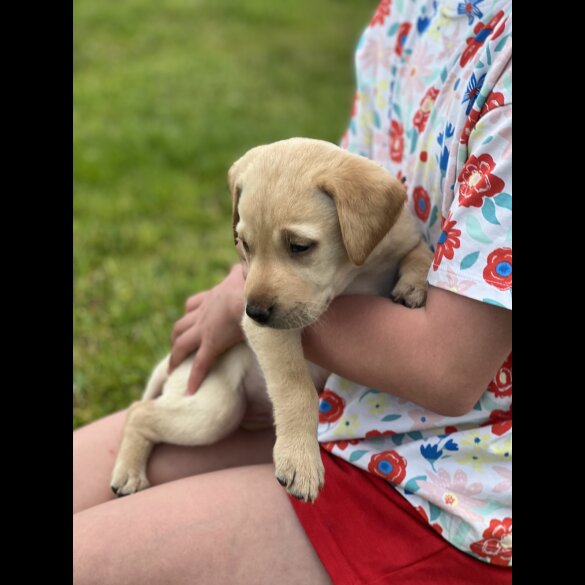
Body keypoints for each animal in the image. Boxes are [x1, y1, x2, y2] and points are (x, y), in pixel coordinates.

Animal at [110, 138, 428, 502]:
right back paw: (128, 473)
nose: (255, 312)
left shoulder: (403, 238)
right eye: (244, 245)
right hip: (214, 409)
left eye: (299, 246)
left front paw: (414, 284)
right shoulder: (269, 333)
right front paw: (300, 461)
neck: (357, 275)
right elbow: (295, 388)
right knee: (139, 411)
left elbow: (421, 252)